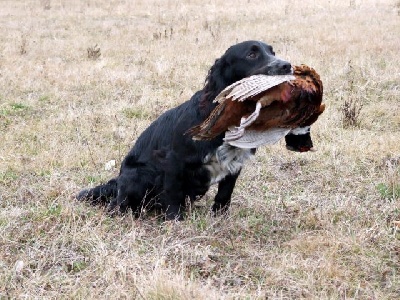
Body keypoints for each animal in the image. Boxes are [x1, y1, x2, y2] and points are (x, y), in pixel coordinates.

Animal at [76, 40, 310, 220]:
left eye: (272, 52)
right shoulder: (172, 159)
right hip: (140, 175)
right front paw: (175, 222)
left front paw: (219, 219)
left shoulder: (235, 163)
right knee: (117, 205)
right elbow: (173, 194)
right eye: (252, 54)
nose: (287, 66)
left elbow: (224, 195)